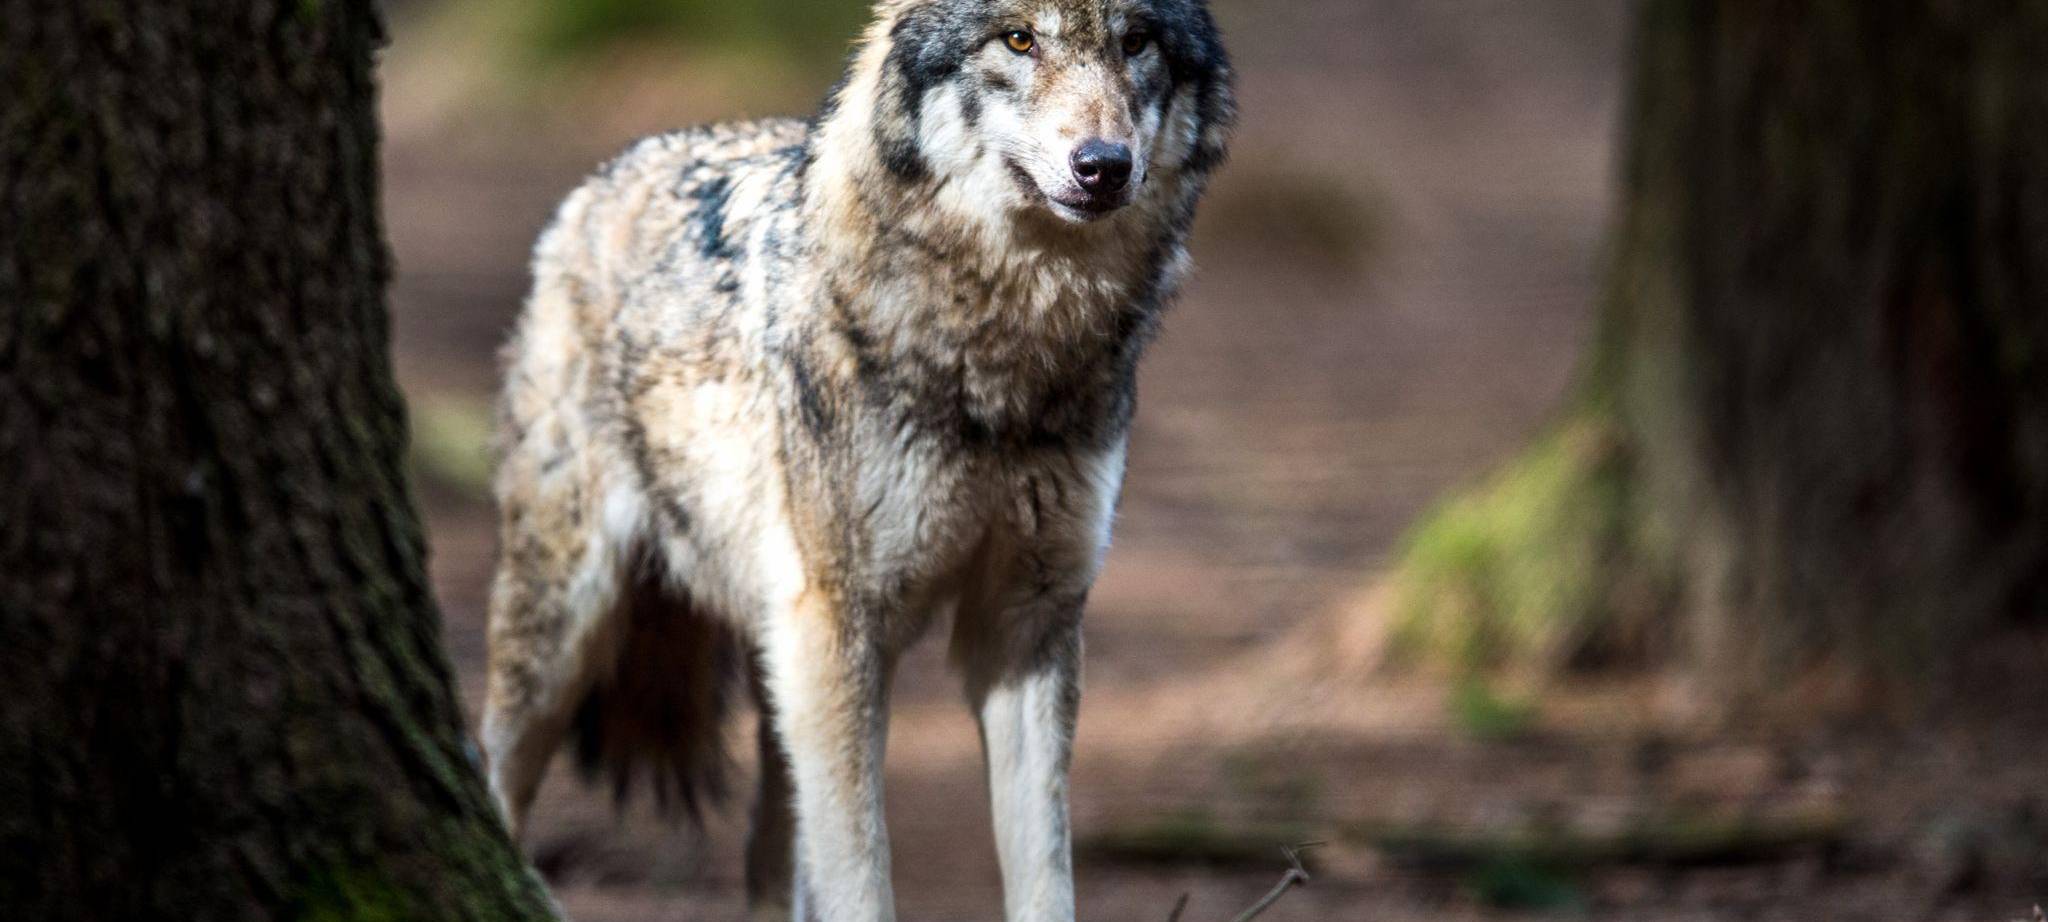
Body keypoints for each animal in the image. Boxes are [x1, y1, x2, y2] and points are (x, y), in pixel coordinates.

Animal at [479, 1, 1234, 919]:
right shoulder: (844, 627)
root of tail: (601, 179)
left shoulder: (1027, 622)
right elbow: (861, 878)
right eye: (1020, 39)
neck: (1003, 362)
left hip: (778, 669)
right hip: (568, 628)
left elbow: (1045, 878)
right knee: (494, 775)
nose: (1103, 166)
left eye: (1137, 41)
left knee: (769, 863)